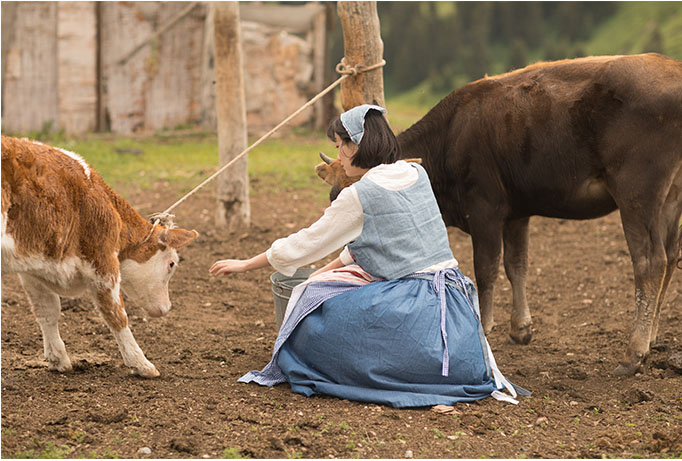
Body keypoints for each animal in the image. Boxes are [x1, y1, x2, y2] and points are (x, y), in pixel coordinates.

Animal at [1, 135, 199, 376]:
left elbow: (47, 310)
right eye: (171, 264)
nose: (167, 308)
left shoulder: (33, 268)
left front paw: (58, 359)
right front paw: (141, 363)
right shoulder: (103, 260)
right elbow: (115, 314)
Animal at [316, 54, 676, 378]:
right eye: (333, 195)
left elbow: (486, 269)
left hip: (636, 194)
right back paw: (651, 338)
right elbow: (517, 265)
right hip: (671, 199)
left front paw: (484, 326)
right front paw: (521, 329)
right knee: (671, 257)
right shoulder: (517, 213)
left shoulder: (485, 209)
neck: (451, 133)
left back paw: (634, 353)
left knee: (649, 262)